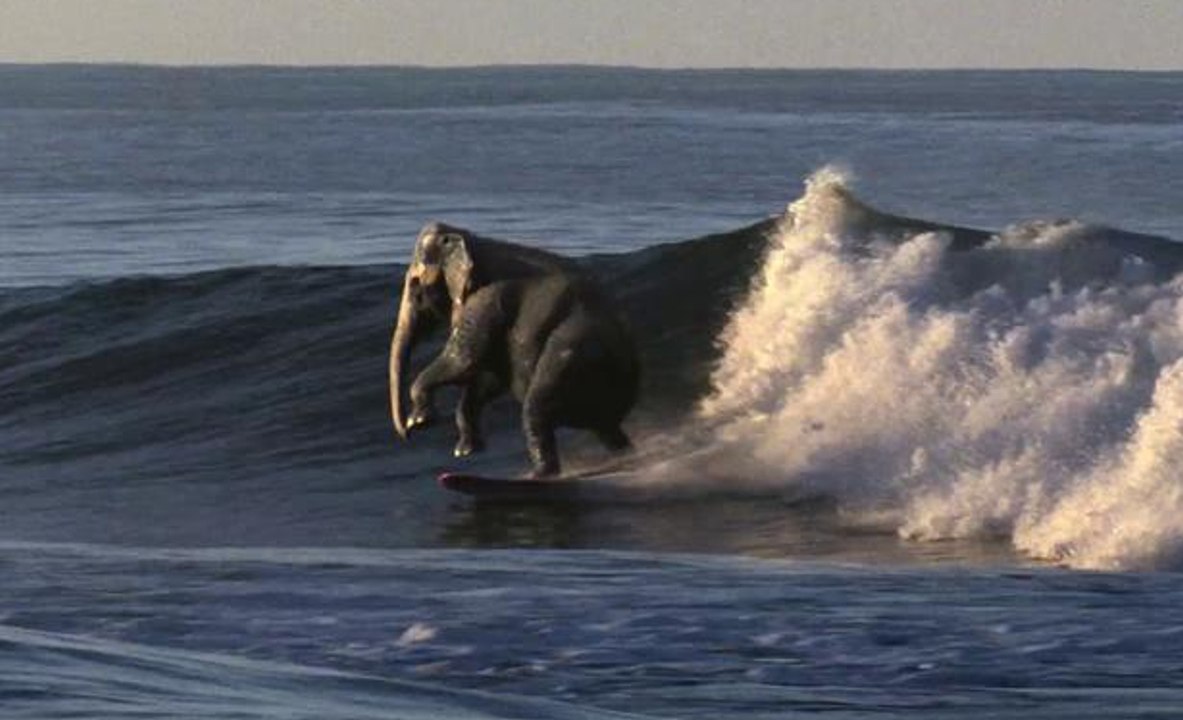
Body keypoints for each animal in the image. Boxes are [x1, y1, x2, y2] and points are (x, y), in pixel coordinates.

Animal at [389, 222, 640, 477]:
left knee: (536, 408)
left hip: (573, 352)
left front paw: (419, 421)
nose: (406, 435)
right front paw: (464, 451)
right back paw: (624, 457)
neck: (473, 240)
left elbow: (464, 361)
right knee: (606, 430)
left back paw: (538, 475)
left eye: (416, 286)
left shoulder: (487, 299)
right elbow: (489, 378)